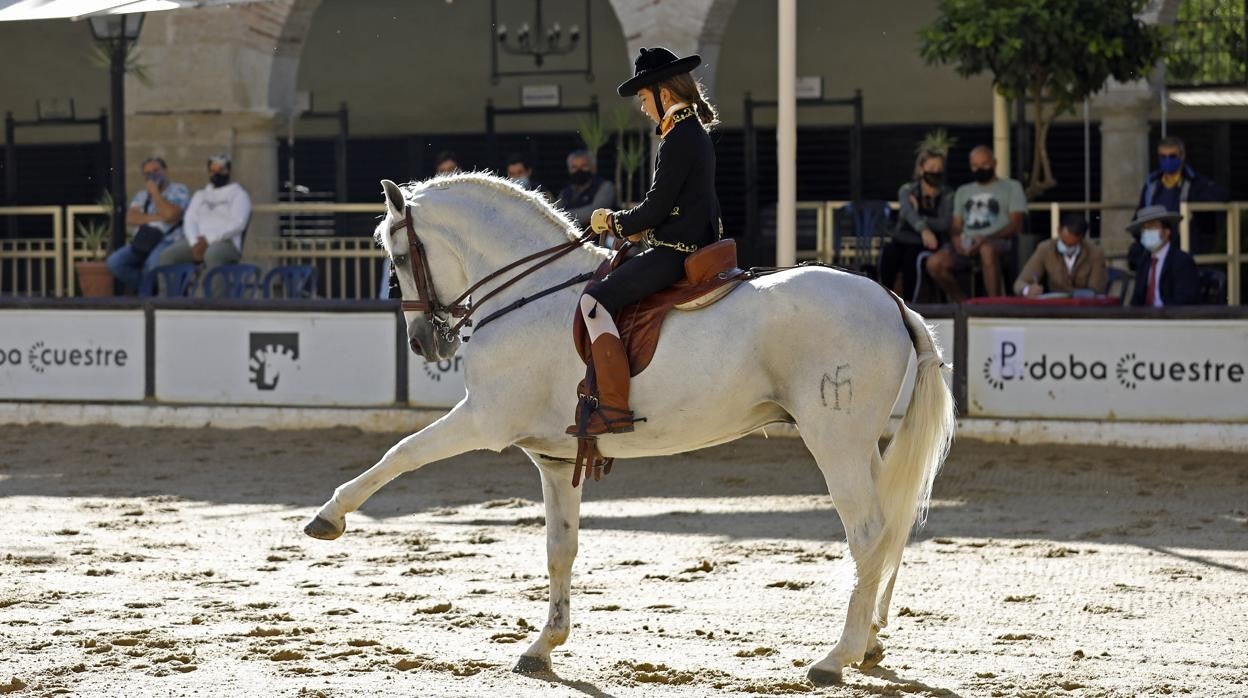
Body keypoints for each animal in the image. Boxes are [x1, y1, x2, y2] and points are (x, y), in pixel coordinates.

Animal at [304, 172, 953, 684]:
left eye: (398, 257)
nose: (423, 343)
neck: (527, 296)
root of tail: (892, 300)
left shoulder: (483, 418)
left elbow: (401, 453)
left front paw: (329, 517)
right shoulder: (555, 458)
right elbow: (560, 548)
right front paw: (544, 646)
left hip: (834, 440)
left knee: (867, 534)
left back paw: (834, 658)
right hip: (862, 445)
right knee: (888, 534)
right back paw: (869, 644)